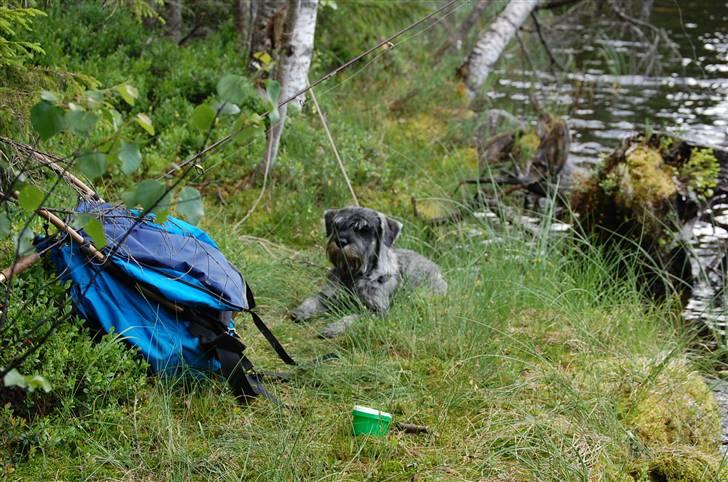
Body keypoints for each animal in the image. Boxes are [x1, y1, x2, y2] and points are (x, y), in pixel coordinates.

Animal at [292, 205, 450, 338]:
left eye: (364, 230)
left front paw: (334, 327)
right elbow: (313, 300)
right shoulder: (329, 295)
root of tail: (437, 268)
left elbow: (353, 317)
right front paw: (300, 311)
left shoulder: (376, 311)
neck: (353, 273)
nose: (341, 242)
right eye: (337, 225)